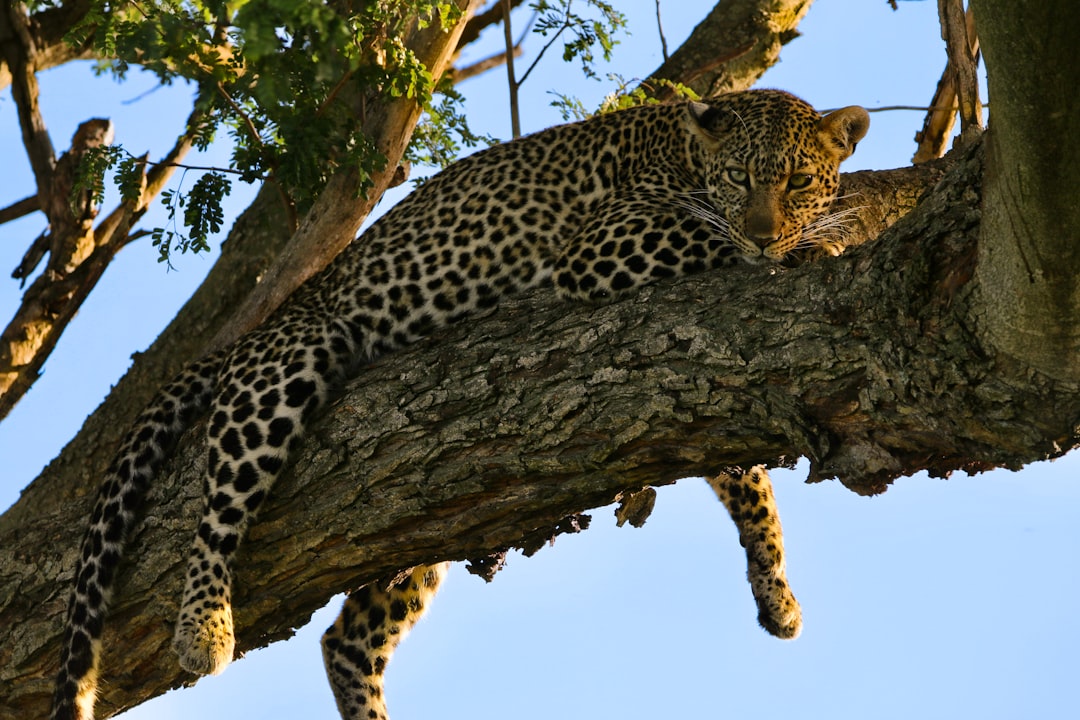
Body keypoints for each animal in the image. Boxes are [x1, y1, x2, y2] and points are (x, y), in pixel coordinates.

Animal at [51, 88, 869, 720]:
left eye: (799, 181)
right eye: (739, 178)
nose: (765, 232)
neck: (692, 154)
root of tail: (269, 318)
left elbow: (744, 476)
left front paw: (775, 589)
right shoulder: (606, 244)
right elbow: (710, 238)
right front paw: (810, 248)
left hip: (423, 521)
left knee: (347, 641)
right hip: (284, 368)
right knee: (218, 509)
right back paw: (204, 627)